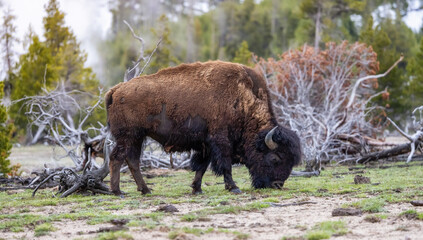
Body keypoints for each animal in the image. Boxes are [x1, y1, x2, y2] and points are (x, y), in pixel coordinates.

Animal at [107, 60, 304, 195]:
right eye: (275, 158)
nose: (277, 185)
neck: (243, 99)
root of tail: (116, 90)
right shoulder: (220, 140)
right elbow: (225, 165)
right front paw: (234, 188)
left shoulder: (205, 144)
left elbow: (201, 167)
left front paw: (197, 189)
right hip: (128, 136)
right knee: (117, 157)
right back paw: (118, 192)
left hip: (137, 137)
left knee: (132, 160)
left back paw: (145, 190)